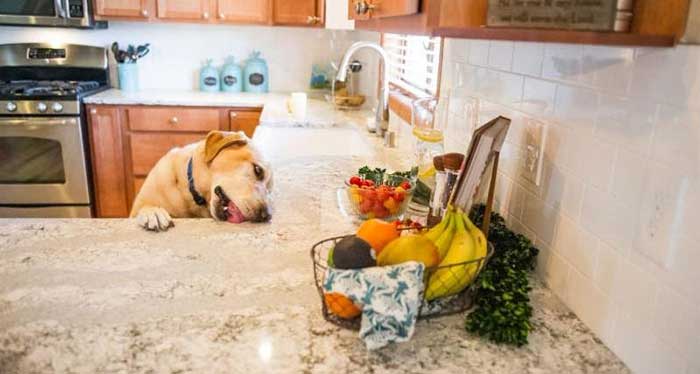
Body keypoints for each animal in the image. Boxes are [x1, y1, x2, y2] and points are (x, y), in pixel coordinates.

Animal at [130, 131, 272, 231]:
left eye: (269, 191)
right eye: (258, 170)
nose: (267, 216)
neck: (190, 196)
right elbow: (145, 207)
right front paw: (153, 212)